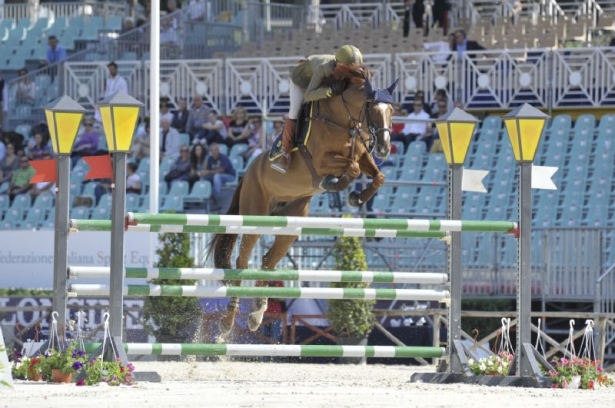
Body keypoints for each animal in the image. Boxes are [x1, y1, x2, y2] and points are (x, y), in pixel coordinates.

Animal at [208, 64, 400, 334]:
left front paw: (356, 197)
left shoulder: (362, 155)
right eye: (372, 108)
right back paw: (229, 321)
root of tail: (248, 173)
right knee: (242, 262)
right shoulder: (322, 161)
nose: (384, 148)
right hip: (255, 216)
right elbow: (350, 168)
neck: (343, 120)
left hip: (290, 225)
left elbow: (377, 175)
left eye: (392, 110)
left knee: (267, 262)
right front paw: (336, 184)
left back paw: (256, 314)